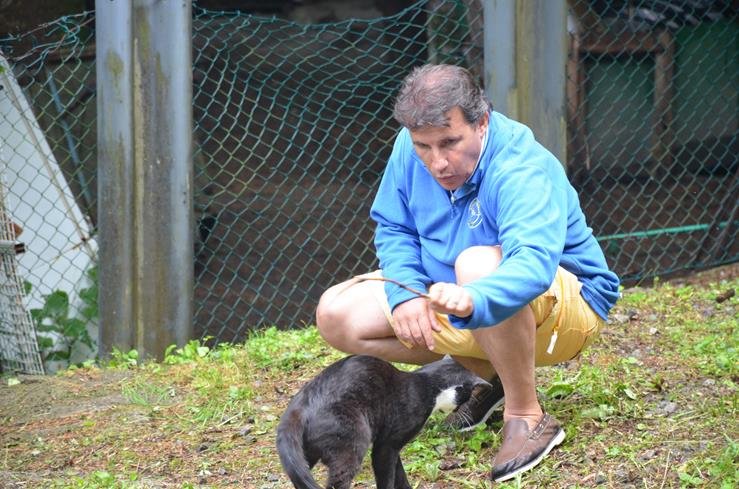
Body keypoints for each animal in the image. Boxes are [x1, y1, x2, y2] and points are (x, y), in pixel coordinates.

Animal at [276, 354, 488, 489]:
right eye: (468, 396)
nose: (462, 411)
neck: (424, 383)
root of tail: (303, 403)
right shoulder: (387, 445)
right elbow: (387, 477)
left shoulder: (390, 445)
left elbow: (400, 473)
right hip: (353, 444)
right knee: (337, 482)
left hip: (304, 454)